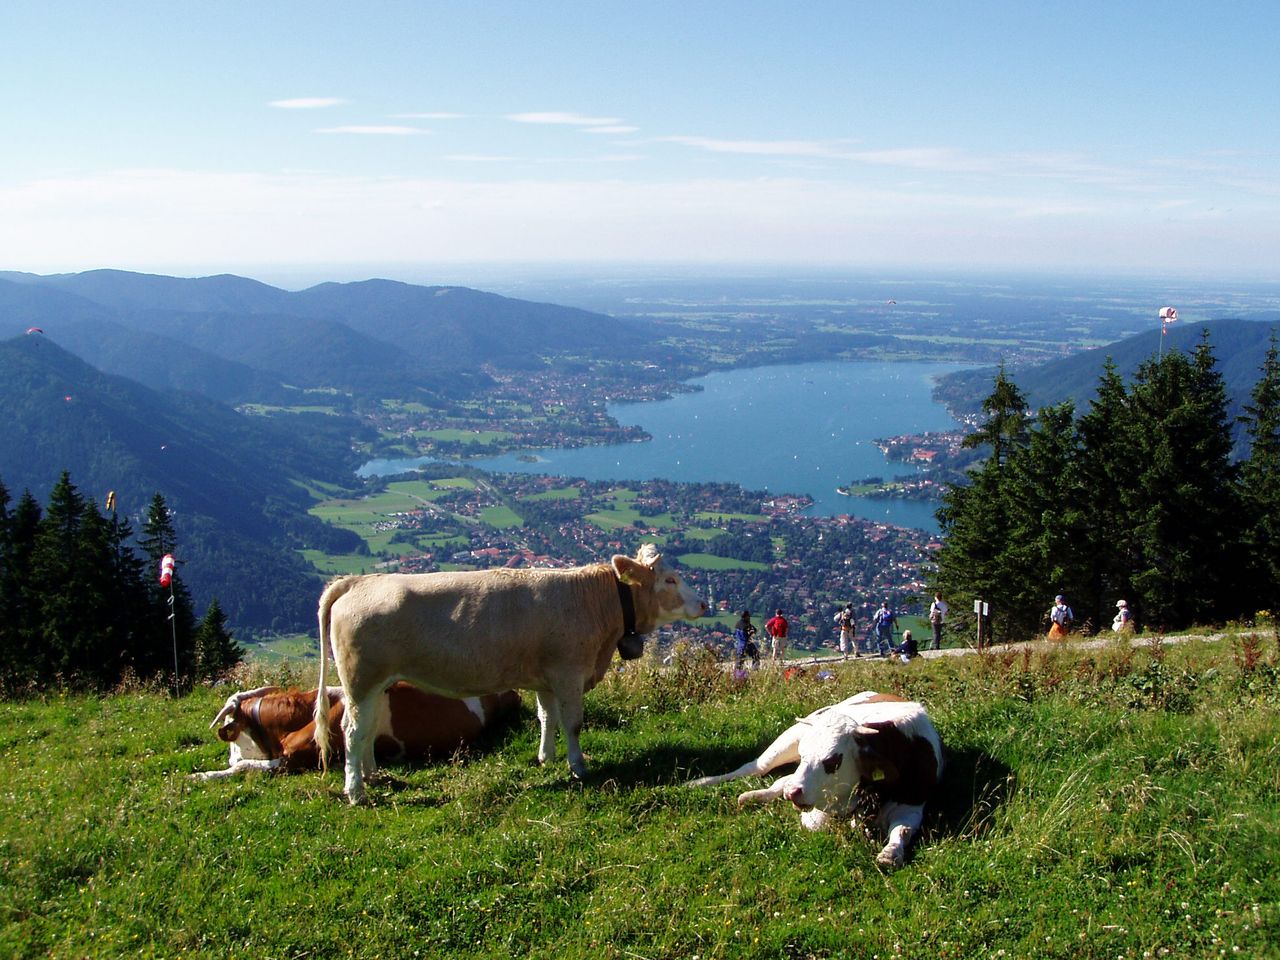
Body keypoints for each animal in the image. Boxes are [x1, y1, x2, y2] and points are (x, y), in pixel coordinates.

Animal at [314, 545, 706, 808]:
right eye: (670, 579)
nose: (703, 604)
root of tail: (357, 581)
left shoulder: (547, 677)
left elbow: (547, 717)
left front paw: (546, 757)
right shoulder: (569, 673)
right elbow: (573, 723)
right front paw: (578, 766)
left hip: (378, 684)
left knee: (367, 729)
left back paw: (371, 774)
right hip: (361, 681)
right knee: (352, 730)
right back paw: (356, 791)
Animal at [691, 691, 942, 870]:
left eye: (832, 761)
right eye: (803, 754)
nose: (793, 793)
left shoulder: (912, 803)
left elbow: (901, 830)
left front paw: (890, 854)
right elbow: (818, 823)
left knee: (781, 780)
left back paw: (754, 796)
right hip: (787, 739)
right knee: (755, 769)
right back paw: (699, 783)